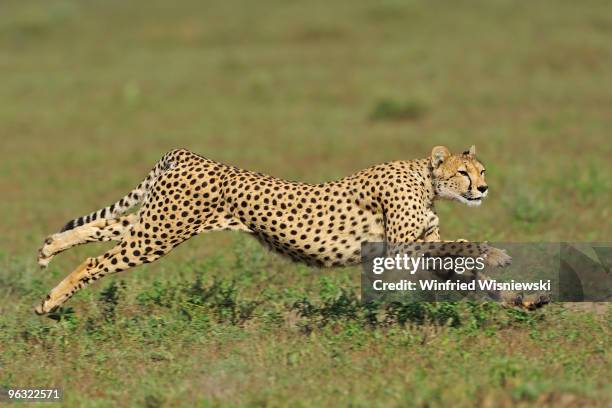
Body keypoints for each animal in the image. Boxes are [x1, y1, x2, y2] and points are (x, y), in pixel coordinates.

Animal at [33, 145, 544, 314]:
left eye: (481, 170)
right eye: (464, 173)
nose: (484, 187)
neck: (426, 179)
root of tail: (188, 154)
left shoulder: (420, 250)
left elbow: (471, 276)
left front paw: (524, 299)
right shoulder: (399, 249)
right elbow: (465, 247)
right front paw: (497, 253)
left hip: (158, 222)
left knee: (104, 227)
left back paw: (49, 249)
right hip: (161, 233)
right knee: (98, 258)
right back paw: (50, 303)